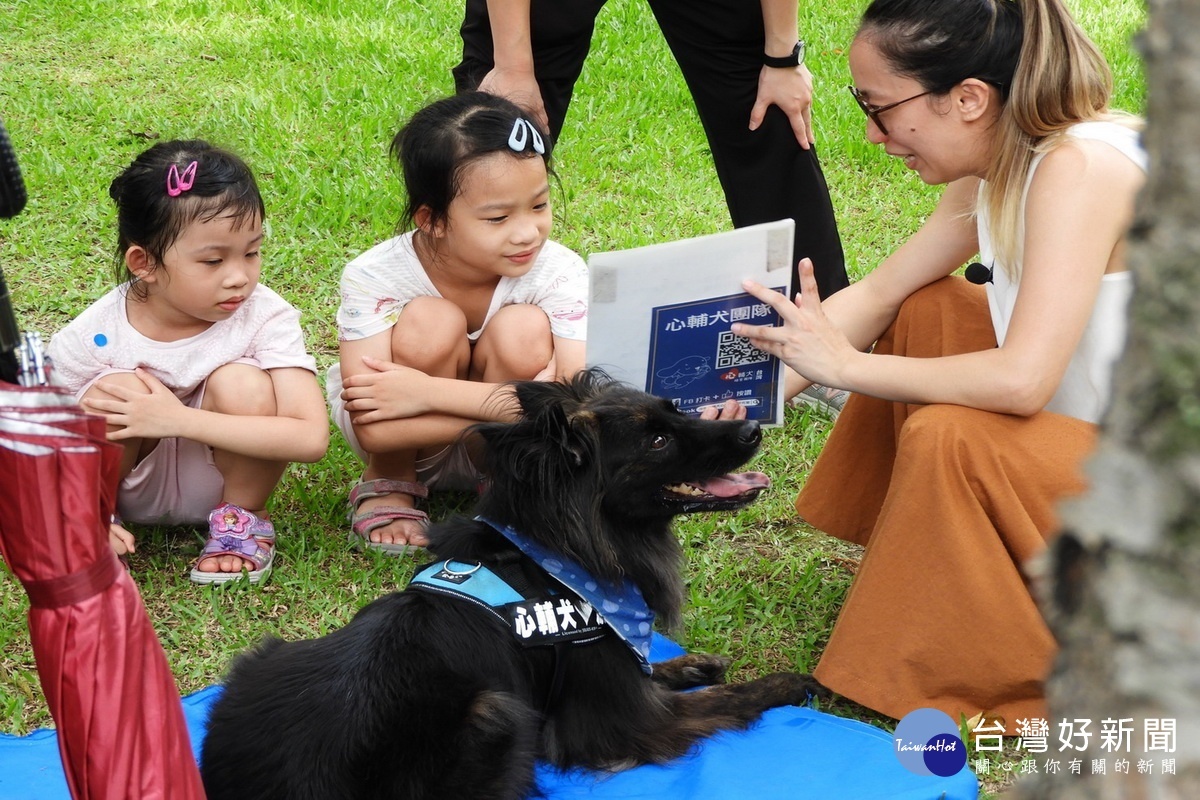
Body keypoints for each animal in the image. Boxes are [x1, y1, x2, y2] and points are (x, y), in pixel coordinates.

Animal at [204, 371, 825, 796]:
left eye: (675, 411)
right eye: (656, 443)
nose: (752, 426)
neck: (562, 555)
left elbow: (655, 667)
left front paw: (690, 665)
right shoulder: (628, 723)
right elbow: (728, 698)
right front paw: (785, 684)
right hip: (496, 713)